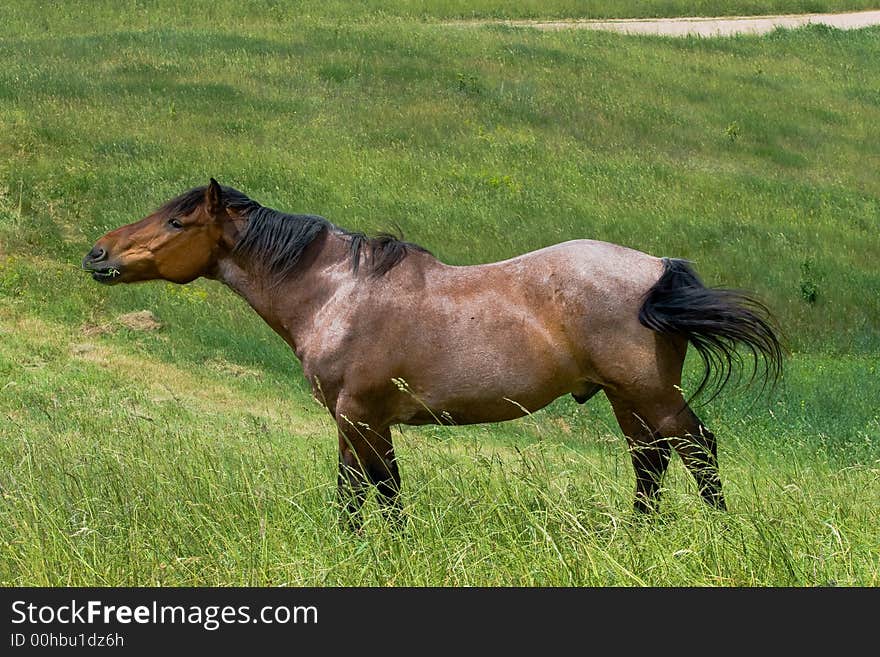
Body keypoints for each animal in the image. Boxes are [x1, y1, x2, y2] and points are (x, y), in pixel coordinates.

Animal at [84, 179, 784, 524]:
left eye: (177, 221)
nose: (97, 254)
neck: (338, 292)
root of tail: (658, 268)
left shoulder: (357, 415)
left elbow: (361, 493)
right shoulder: (367, 420)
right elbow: (379, 491)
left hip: (649, 393)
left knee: (696, 450)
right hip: (626, 398)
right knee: (651, 462)